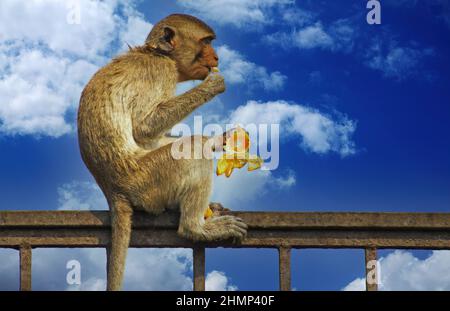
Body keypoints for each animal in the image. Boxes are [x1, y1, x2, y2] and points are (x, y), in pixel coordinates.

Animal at [76, 13, 246, 292]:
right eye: (206, 42)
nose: (217, 58)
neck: (157, 54)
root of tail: (113, 190)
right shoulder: (161, 73)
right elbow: (144, 127)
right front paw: (212, 85)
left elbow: (153, 138)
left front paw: (219, 140)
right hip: (147, 183)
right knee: (192, 150)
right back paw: (195, 228)